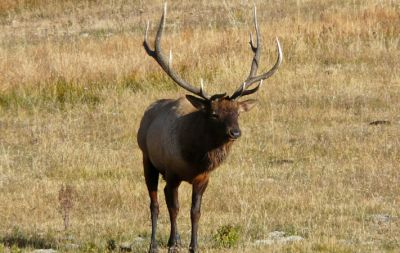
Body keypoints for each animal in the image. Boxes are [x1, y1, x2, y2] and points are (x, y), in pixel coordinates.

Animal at [138, 3, 282, 253]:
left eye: (237, 113)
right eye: (214, 114)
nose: (235, 133)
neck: (194, 159)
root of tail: (149, 110)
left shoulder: (203, 178)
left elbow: (195, 211)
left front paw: (192, 246)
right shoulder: (172, 171)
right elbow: (174, 208)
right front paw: (173, 245)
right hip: (147, 159)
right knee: (154, 203)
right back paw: (156, 244)